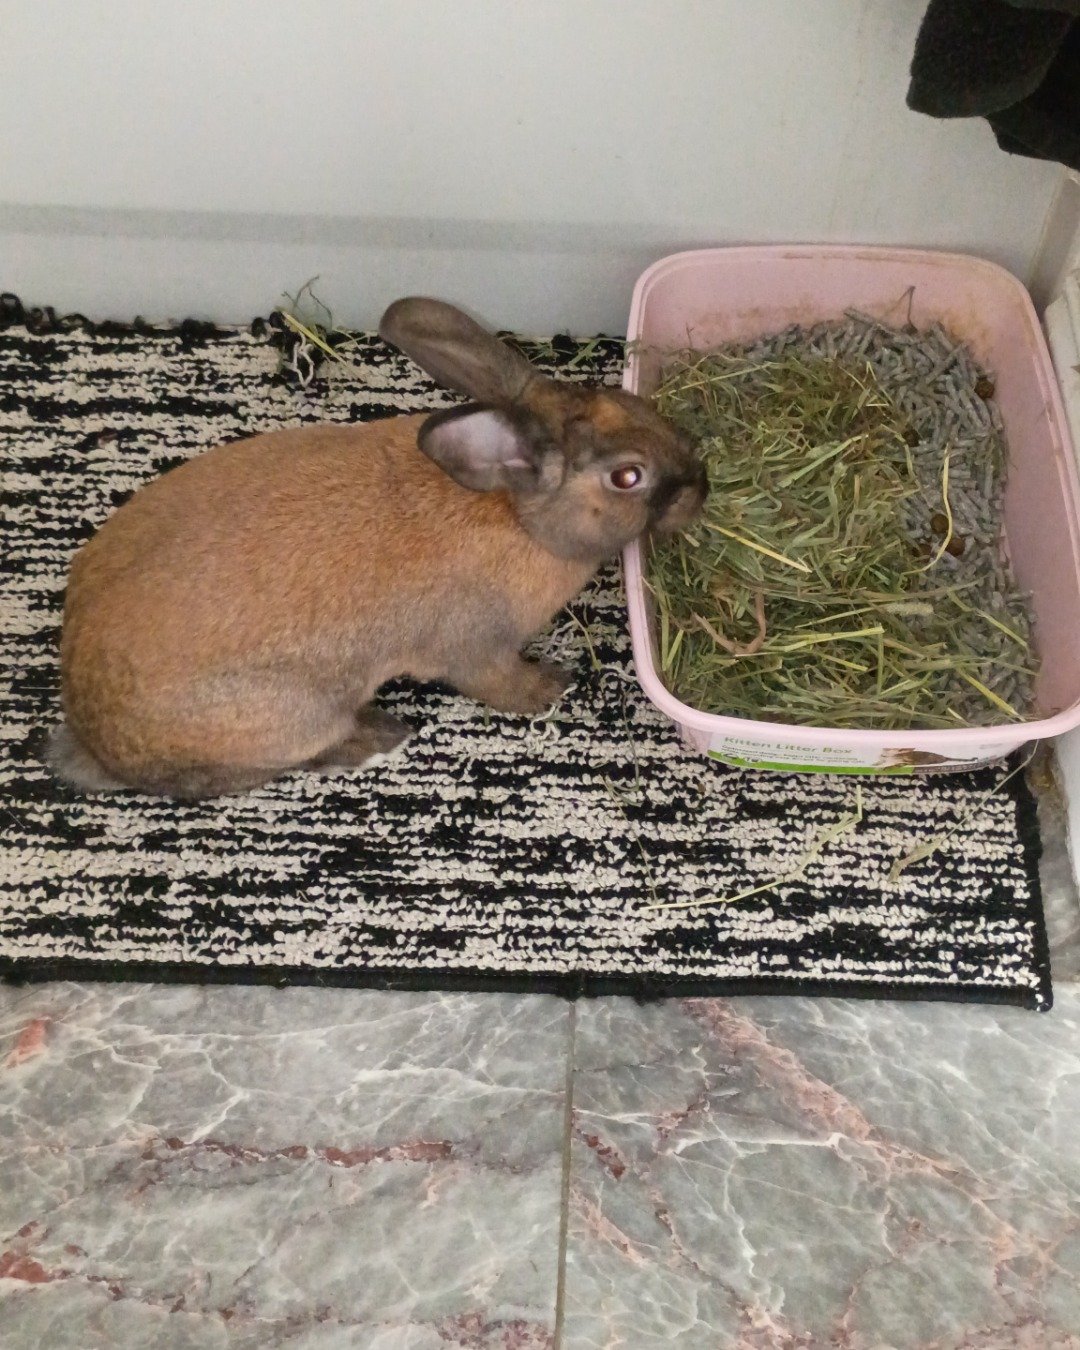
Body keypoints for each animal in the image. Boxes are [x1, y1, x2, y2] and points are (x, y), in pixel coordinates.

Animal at [46, 297, 707, 800]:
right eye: (628, 477)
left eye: (622, 401)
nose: (701, 485)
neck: (516, 514)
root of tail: (95, 741)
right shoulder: (475, 649)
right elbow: (498, 685)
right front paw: (554, 686)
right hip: (295, 715)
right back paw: (381, 739)